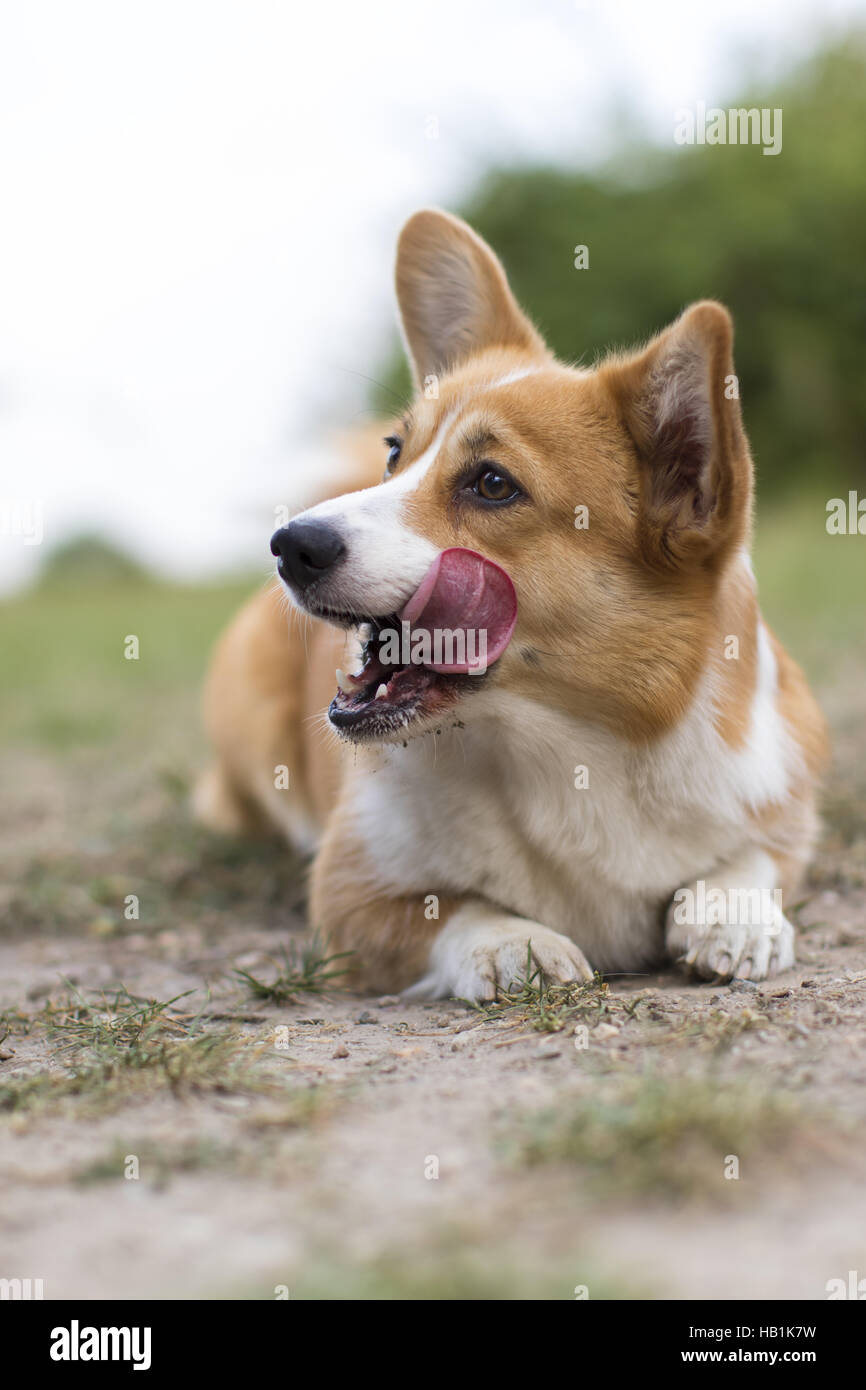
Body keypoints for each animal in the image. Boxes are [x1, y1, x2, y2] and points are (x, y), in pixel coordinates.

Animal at [195, 205, 828, 1000]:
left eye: (493, 484)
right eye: (395, 453)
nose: (289, 544)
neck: (562, 746)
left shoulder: (786, 807)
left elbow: (750, 859)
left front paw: (733, 918)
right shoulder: (348, 893)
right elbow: (454, 911)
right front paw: (515, 945)